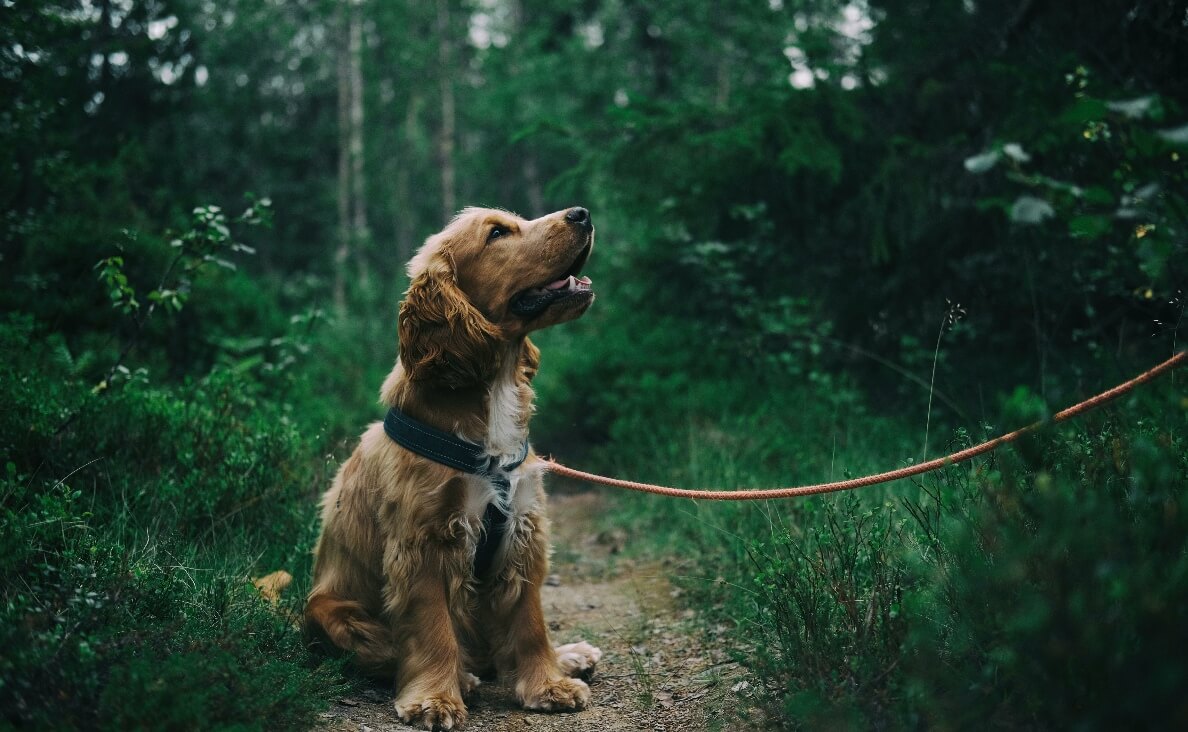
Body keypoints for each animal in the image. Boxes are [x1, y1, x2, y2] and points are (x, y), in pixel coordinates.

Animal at [306, 205, 603, 732]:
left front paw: (549, 684)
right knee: (393, 651)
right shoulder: (425, 540)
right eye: (497, 233)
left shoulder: (522, 529)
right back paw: (462, 677)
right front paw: (435, 699)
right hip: (330, 611)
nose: (582, 213)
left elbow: (529, 622)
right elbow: (432, 628)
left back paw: (568, 655)